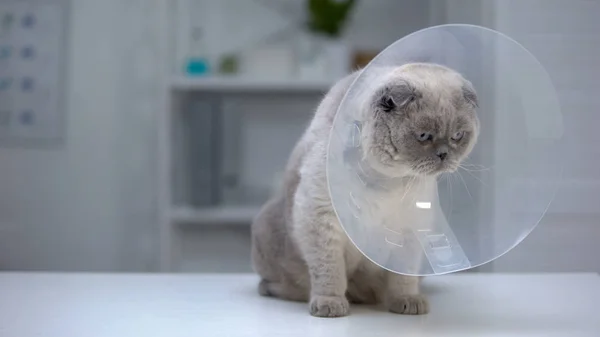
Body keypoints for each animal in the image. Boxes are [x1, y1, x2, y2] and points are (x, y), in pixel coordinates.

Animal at [251, 62, 480, 316]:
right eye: (424, 136)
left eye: (457, 136)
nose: (444, 155)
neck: (386, 180)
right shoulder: (320, 217)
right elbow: (330, 271)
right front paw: (331, 305)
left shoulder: (411, 227)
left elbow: (403, 278)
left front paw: (407, 302)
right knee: (280, 283)